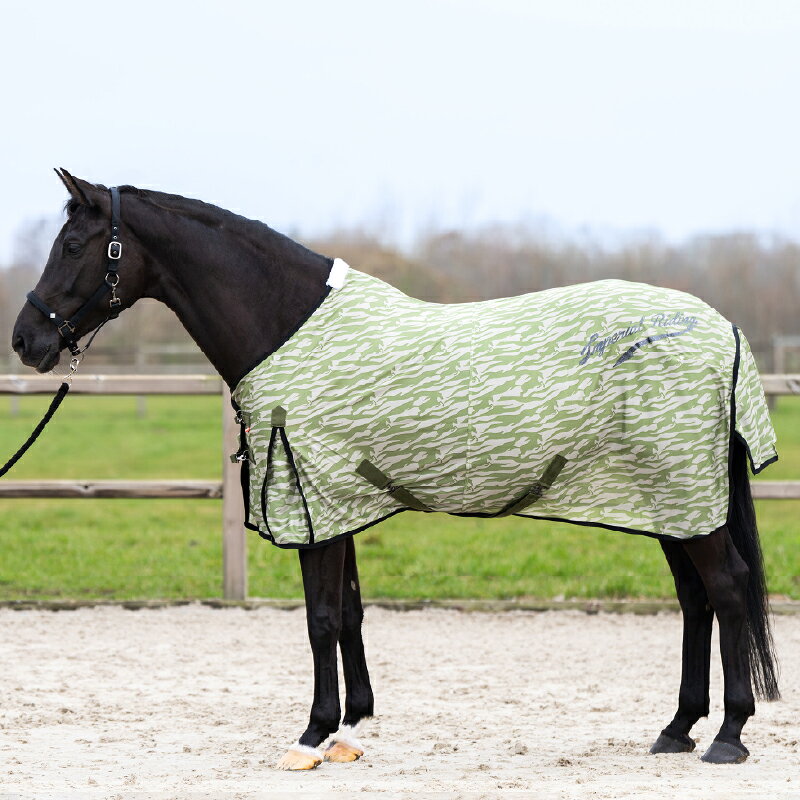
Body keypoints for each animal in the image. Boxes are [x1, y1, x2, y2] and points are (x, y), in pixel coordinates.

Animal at [11, 170, 779, 769]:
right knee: (696, 599)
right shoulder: (335, 501)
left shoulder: (313, 500)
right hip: (666, 502)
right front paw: (352, 728)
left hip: (683, 493)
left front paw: (311, 735)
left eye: (74, 245)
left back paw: (728, 735)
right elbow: (350, 612)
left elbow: (320, 618)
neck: (287, 324)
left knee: (728, 589)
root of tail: (724, 330)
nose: (27, 340)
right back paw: (676, 729)